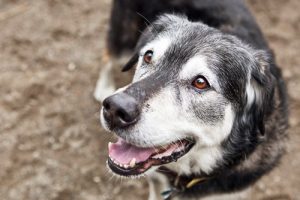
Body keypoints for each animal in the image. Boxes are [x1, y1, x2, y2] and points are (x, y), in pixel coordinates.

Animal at [96, 0, 288, 199]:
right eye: (148, 56)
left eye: (201, 82)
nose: (115, 108)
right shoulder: (156, 178)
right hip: (124, 44)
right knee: (107, 55)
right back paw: (103, 87)